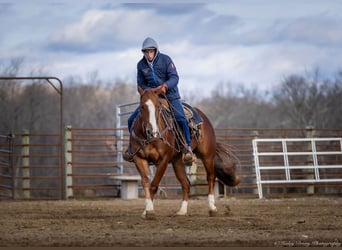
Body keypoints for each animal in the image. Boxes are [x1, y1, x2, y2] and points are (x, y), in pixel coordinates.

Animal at [127, 88, 239, 219]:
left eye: (158, 107)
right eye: (142, 107)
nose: (153, 132)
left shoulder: (163, 160)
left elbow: (154, 184)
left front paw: (149, 211)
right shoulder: (139, 158)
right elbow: (145, 182)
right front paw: (147, 210)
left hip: (207, 156)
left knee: (210, 178)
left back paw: (212, 208)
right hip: (178, 162)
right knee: (186, 184)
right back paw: (182, 211)